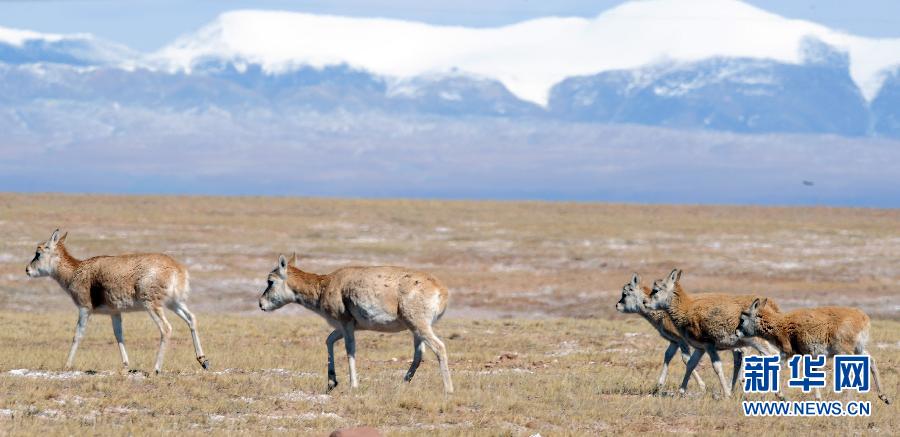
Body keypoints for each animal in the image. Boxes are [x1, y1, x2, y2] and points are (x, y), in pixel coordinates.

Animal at [25, 227, 209, 372]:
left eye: (38, 253)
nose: (27, 270)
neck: (77, 270)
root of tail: (178, 269)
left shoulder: (84, 309)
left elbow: (77, 335)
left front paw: (67, 365)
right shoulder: (115, 312)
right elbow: (119, 335)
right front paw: (126, 364)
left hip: (153, 306)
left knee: (166, 328)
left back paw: (156, 368)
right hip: (174, 303)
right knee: (191, 319)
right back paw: (203, 360)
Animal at [258, 254, 458, 394]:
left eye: (270, 281)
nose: (261, 304)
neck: (326, 285)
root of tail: (441, 290)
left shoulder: (346, 325)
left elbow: (350, 350)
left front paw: (353, 385)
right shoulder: (344, 327)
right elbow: (329, 340)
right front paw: (332, 383)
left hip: (419, 327)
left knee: (439, 347)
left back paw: (448, 390)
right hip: (415, 330)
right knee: (419, 354)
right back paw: (401, 385)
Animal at [648, 268, 780, 396]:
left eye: (655, 290)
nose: (645, 302)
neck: (686, 310)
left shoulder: (709, 346)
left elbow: (717, 367)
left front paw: (727, 394)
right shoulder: (700, 348)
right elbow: (690, 364)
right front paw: (682, 391)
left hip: (758, 344)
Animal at [736, 298, 888, 404]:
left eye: (742, 319)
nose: (736, 332)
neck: (781, 324)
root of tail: (863, 318)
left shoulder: (788, 353)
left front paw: (780, 396)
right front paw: (817, 400)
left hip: (845, 352)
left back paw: (847, 400)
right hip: (859, 350)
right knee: (871, 361)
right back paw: (884, 397)